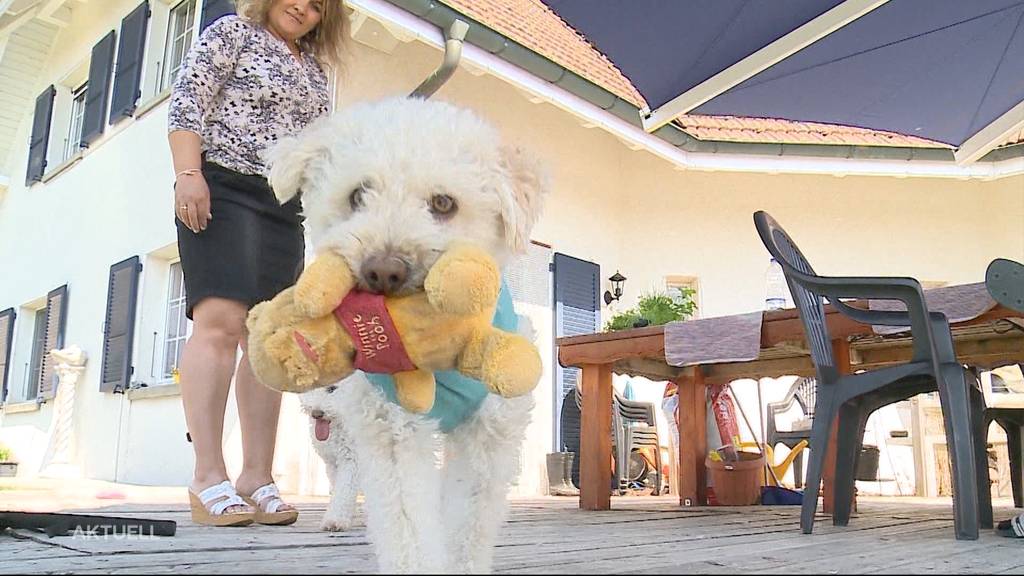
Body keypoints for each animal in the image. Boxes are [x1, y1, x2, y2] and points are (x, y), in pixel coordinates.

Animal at [268, 96, 548, 569]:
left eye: (443, 203)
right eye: (357, 195)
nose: (383, 270)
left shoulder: (488, 435)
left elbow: (467, 525)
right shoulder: (392, 428)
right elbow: (408, 529)